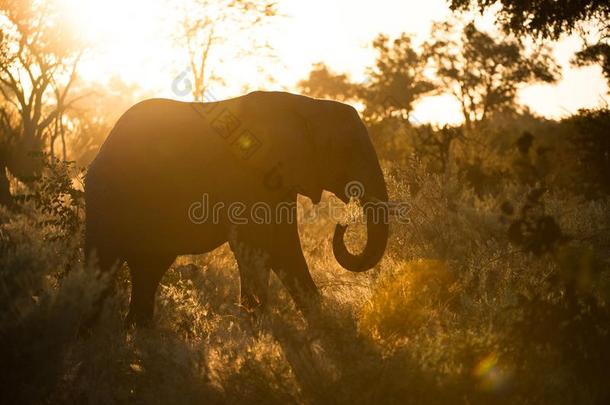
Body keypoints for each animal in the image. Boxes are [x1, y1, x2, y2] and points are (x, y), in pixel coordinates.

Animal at [84, 91, 390, 326]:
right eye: (348, 149)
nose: (343, 224)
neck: (305, 105)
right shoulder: (246, 177)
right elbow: (256, 246)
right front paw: (260, 329)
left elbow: (284, 248)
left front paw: (326, 329)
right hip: (107, 197)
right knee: (104, 263)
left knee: (148, 268)